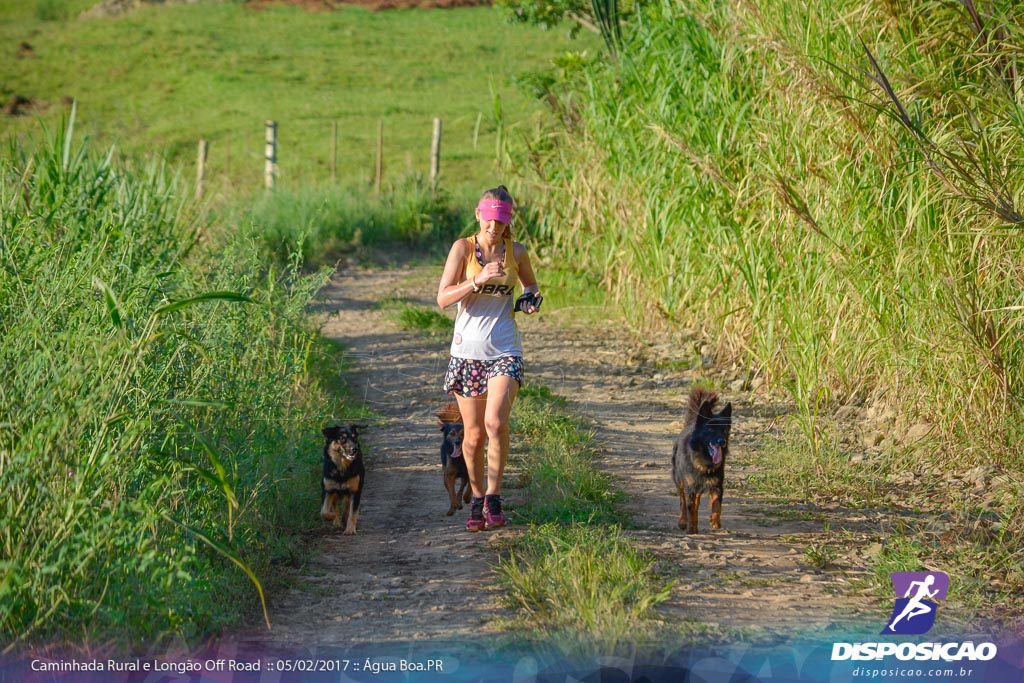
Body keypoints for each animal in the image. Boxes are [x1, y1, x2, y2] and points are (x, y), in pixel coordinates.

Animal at [671, 389, 729, 532]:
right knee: (682, 501)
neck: (704, 460)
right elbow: (691, 508)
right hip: (680, 480)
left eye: (724, 430)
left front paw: (715, 521)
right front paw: (692, 528)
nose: (722, 441)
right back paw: (683, 521)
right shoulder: (690, 486)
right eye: (711, 429)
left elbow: (717, 504)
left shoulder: (716, 485)